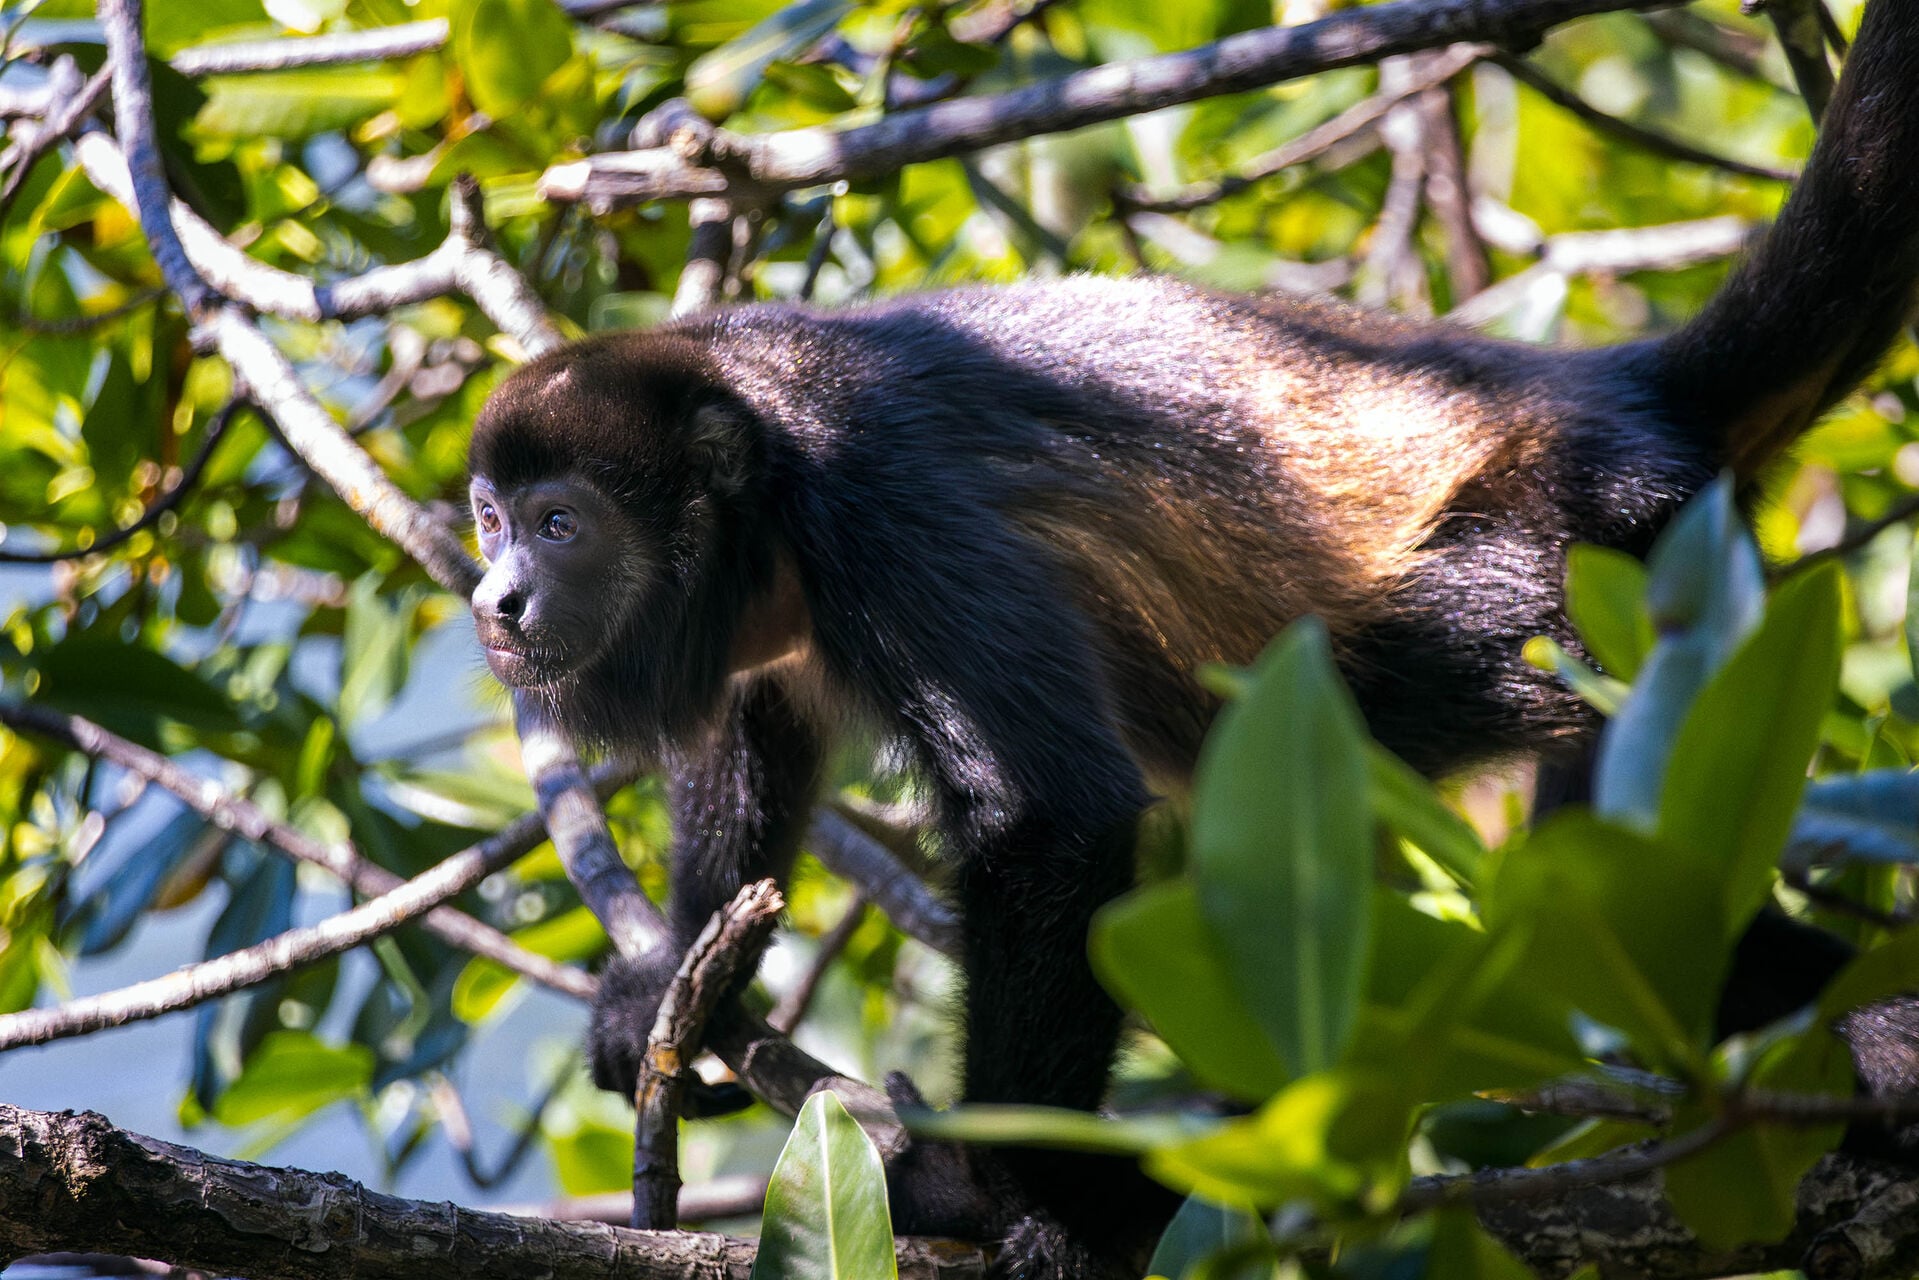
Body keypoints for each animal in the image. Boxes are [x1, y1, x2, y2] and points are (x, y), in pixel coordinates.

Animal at [465, 0, 1919, 1273]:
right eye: (487, 518)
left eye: (560, 522)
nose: (493, 599)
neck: (761, 467)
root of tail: (1620, 398)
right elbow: (751, 743)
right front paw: (673, 985)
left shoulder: (878, 506)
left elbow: (1049, 816)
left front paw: (1015, 1195)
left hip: (1562, 565)